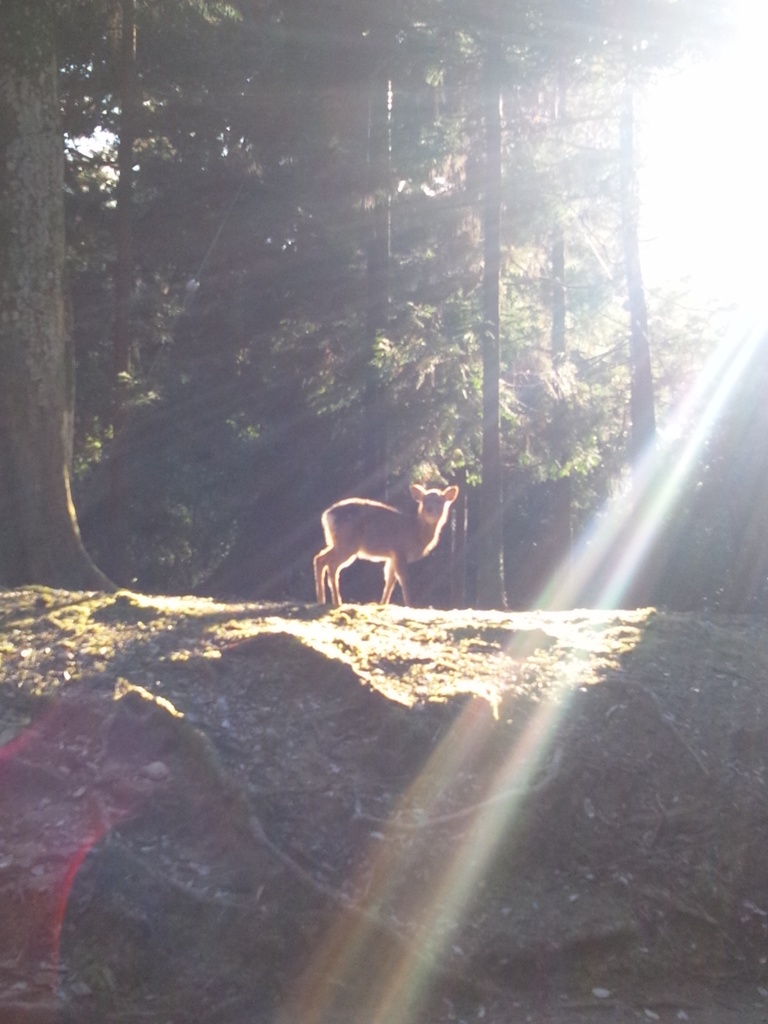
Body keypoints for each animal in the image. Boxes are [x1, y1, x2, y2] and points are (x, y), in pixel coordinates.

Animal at [311, 481, 456, 606]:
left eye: (440, 501)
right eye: (424, 501)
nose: (429, 510)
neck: (415, 533)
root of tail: (327, 515)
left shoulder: (392, 556)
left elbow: (390, 580)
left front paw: (383, 603)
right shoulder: (399, 550)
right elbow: (404, 578)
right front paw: (410, 605)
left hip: (338, 542)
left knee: (320, 558)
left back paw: (321, 600)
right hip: (347, 543)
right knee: (331, 564)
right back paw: (337, 602)